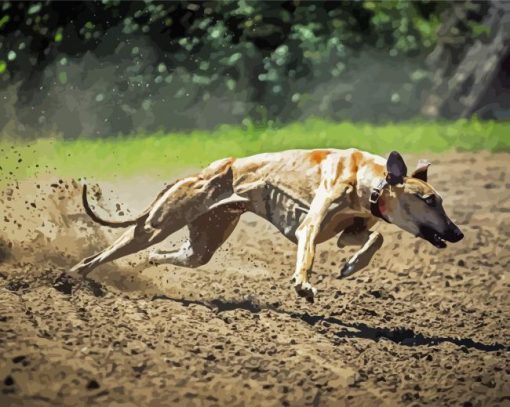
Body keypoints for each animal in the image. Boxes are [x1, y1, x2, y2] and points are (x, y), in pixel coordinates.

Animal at [69, 150, 464, 302]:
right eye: (430, 200)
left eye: (440, 199)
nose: (457, 233)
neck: (371, 180)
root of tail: (200, 173)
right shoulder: (310, 229)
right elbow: (307, 255)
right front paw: (303, 285)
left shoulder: (347, 232)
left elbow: (376, 236)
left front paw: (352, 266)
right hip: (156, 224)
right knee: (98, 256)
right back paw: (70, 277)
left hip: (201, 245)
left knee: (169, 254)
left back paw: (143, 265)